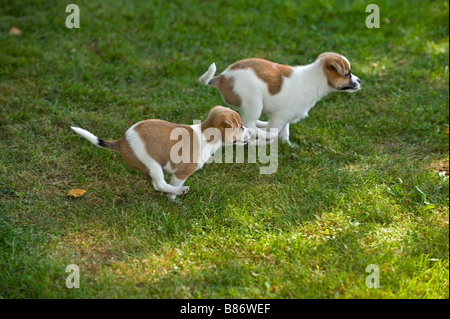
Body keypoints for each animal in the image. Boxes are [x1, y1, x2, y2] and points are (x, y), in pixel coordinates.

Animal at [72, 105, 251, 200]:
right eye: (241, 127)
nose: (250, 132)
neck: (206, 136)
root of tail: (122, 141)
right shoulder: (181, 173)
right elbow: (173, 185)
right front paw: (173, 199)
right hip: (152, 164)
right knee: (159, 184)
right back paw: (180, 191)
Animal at [200, 52, 362, 146]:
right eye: (347, 74)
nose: (359, 80)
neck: (315, 79)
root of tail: (223, 77)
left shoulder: (285, 117)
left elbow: (285, 132)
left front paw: (288, 145)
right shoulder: (279, 117)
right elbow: (274, 134)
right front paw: (259, 143)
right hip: (254, 102)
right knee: (249, 124)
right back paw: (263, 133)